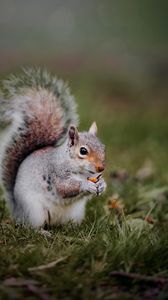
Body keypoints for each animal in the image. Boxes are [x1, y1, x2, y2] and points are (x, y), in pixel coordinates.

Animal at [0, 68, 106, 227]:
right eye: (83, 151)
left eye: (103, 148)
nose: (101, 168)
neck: (82, 172)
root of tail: (18, 212)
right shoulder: (56, 173)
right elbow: (64, 187)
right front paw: (86, 185)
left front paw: (103, 184)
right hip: (34, 211)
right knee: (33, 226)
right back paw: (43, 231)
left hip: (75, 213)